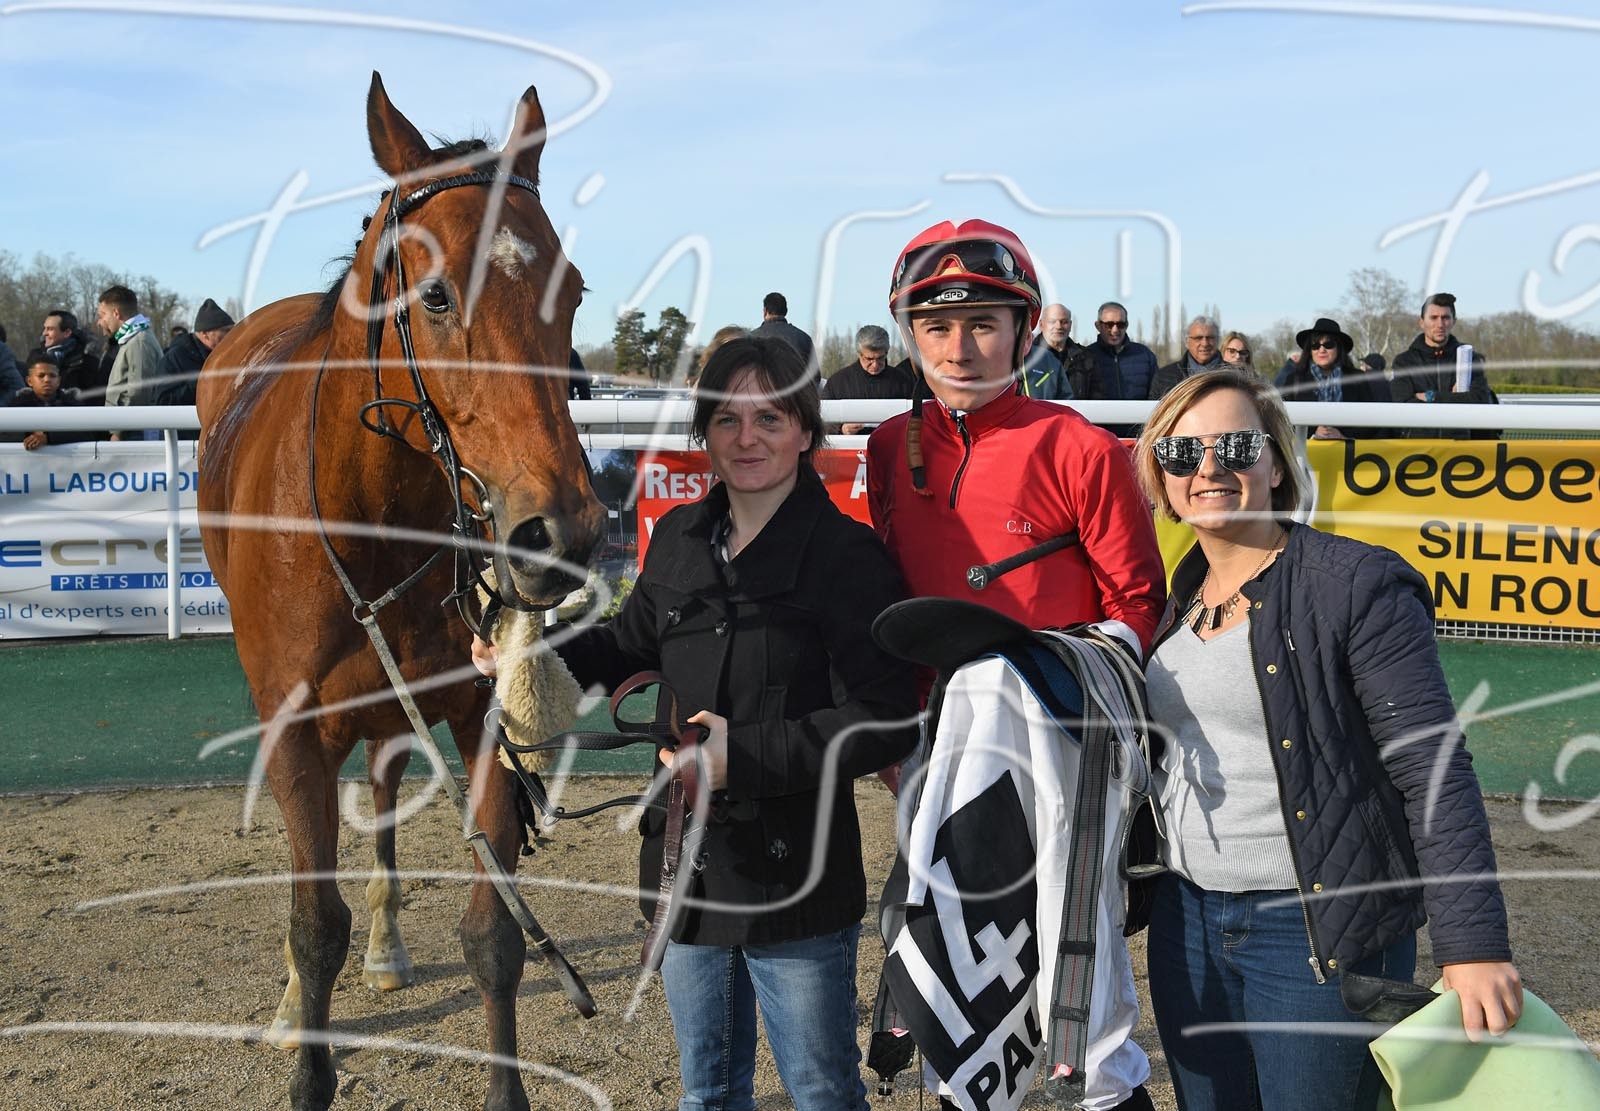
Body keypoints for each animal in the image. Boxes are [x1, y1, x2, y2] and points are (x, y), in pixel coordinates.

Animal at [196, 73, 605, 1111]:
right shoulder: (293, 725)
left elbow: (494, 934)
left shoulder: (476, 710)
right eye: (436, 292)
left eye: (573, 290)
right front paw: (306, 1043)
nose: (562, 533)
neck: (373, 523)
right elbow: (313, 925)